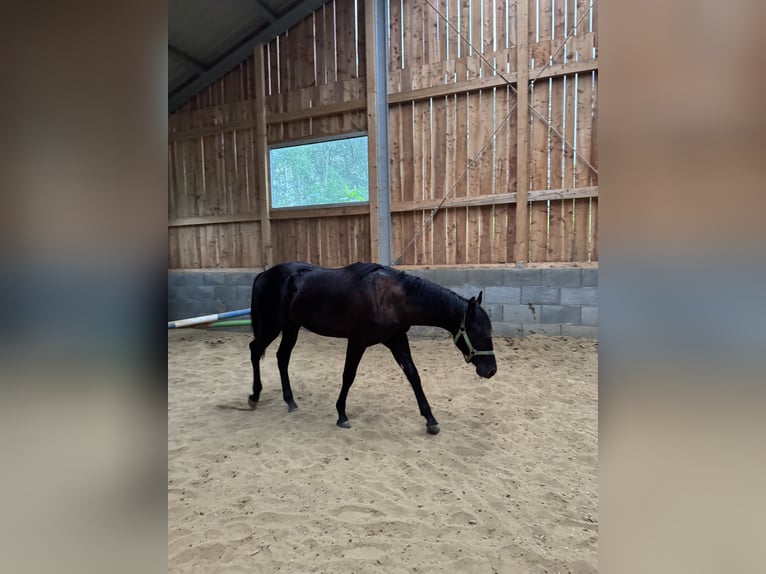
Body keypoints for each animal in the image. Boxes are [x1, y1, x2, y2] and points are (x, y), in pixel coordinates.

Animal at [248, 261, 497, 434]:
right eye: (479, 333)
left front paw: (430, 420)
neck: (390, 297)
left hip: (291, 327)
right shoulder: (357, 341)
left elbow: (414, 376)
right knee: (255, 350)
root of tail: (263, 275)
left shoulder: (397, 339)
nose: (491, 370)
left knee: (282, 357)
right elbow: (348, 376)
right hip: (272, 326)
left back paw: (290, 401)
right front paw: (341, 414)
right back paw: (255, 396)